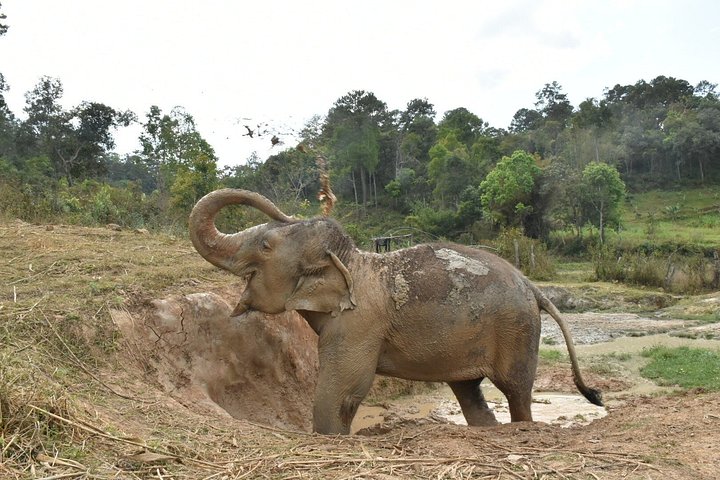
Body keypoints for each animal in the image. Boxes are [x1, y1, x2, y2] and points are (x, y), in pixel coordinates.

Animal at [189, 188, 603, 434]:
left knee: (516, 390)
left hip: (516, 330)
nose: (293, 211)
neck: (353, 263)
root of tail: (533, 287)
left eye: (265, 244)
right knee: (470, 392)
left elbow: (342, 391)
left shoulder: (359, 324)